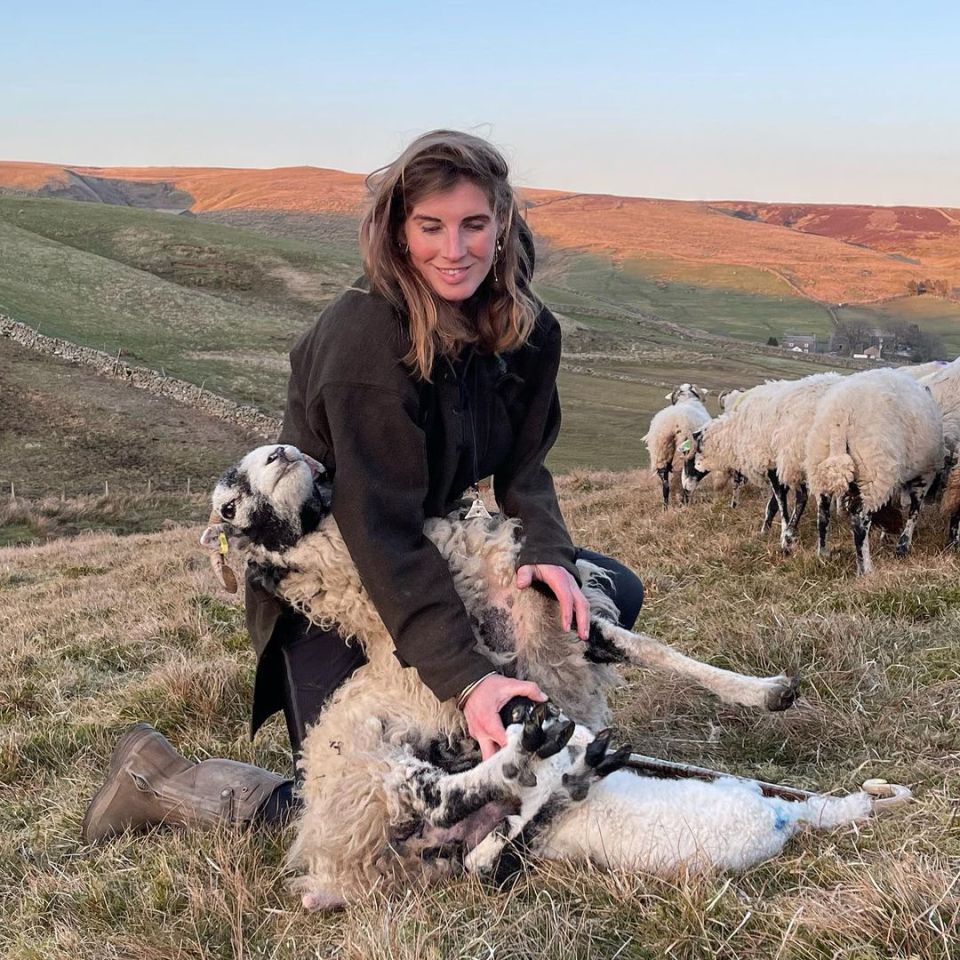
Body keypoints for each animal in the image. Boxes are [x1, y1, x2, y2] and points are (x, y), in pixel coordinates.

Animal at [202, 442, 892, 908]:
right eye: (228, 505)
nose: (283, 451)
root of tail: (331, 870)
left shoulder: (559, 616)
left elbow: (653, 649)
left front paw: (768, 693)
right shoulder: (496, 681)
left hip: (426, 815)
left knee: (484, 840)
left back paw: (568, 769)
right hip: (366, 766)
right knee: (441, 803)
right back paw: (527, 759)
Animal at [640, 380, 708, 510]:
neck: (687, 398)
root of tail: (676, 421)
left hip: (661, 450)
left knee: (665, 482)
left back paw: (666, 507)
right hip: (684, 453)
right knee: (685, 482)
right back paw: (684, 503)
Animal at [804, 370, 944, 572]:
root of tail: (841, 416)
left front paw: (886, 534)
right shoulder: (925, 474)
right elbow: (914, 511)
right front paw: (902, 546)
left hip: (819, 461)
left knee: (822, 512)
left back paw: (823, 554)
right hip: (873, 470)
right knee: (860, 519)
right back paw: (866, 568)